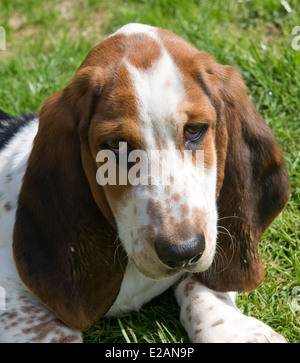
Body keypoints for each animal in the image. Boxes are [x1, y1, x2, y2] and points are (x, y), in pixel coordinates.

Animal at [0, 24, 290, 342]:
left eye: (194, 130)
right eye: (115, 144)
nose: (183, 252)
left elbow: (202, 284)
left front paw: (233, 331)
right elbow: (51, 331)